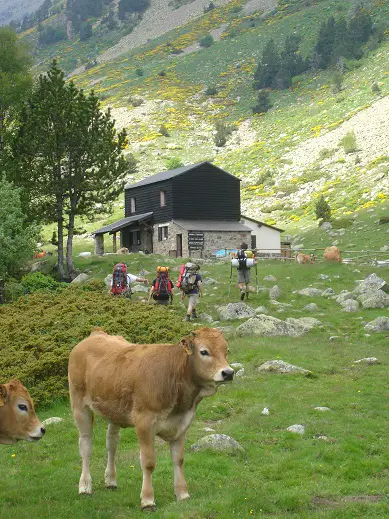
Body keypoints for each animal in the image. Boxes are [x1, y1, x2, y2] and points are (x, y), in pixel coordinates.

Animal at [68, 330, 233, 512]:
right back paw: (85, 487)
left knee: (111, 443)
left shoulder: (182, 424)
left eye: (226, 350)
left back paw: (110, 480)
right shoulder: (144, 423)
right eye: (204, 351)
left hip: (114, 408)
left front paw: (182, 493)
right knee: (86, 445)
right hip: (79, 405)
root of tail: (95, 333)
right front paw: (147, 500)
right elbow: (148, 462)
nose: (228, 373)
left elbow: (179, 459)